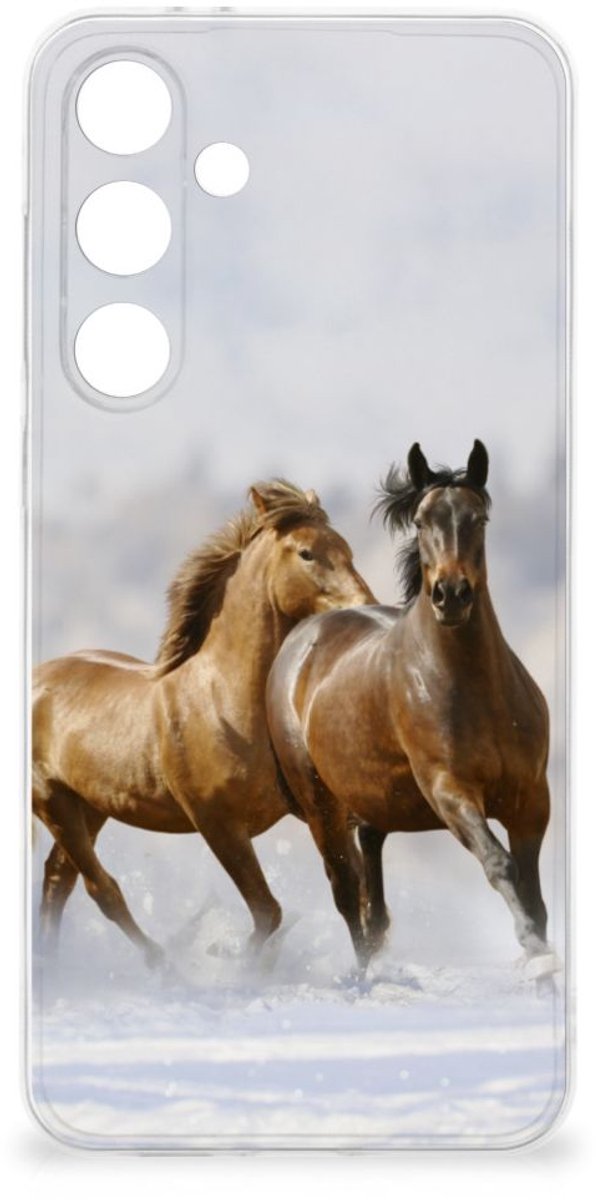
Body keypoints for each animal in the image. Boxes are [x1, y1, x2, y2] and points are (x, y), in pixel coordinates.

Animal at [33, 480, 375, 966]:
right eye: (307, 553)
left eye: (347, 549)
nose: (366, 607)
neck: (224, 703)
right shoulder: (218, 824)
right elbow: (268, 912)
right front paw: (233, 960)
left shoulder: (320, 811)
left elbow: (350, 892)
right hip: (52, 802)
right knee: (102, 889)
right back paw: (162, 964)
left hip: (90, 806)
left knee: (58, 880)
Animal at [266, 442, 551, 970]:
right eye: (420, 521)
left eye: (479, 518)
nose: (451, 595)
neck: (476, 691)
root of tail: (301, 638)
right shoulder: (450, 791)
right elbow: (500, 865)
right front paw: (535, 953)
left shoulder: (531, 800)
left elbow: (535, 894)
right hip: (321, 806)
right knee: (347, 893)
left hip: (372, 802)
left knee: (372, 893)